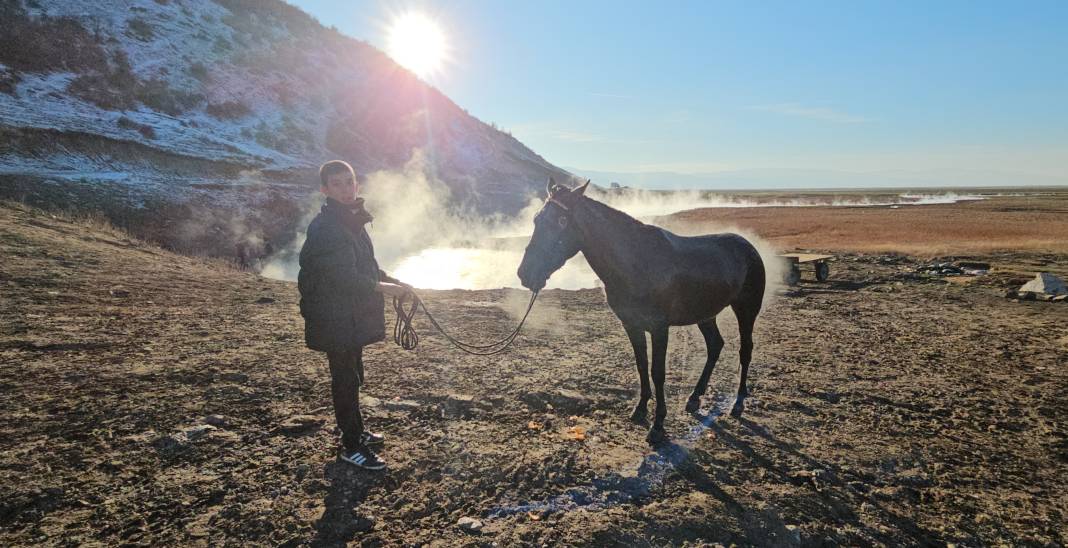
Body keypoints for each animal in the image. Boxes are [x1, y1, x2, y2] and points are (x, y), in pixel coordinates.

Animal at [519, 179, 764, 444]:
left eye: (562, 221)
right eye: (536, 219)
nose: (525, 274)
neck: (636, 263)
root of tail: (749, 247)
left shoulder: (659, 328)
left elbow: (658, 372)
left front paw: (657, 425)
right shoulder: (632, 325)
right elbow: (641, 365)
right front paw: (640, 409)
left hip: (746, 310)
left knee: (745, 350)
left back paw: (738, 403)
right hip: (705, 315)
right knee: (715, 345)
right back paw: (694, 398)